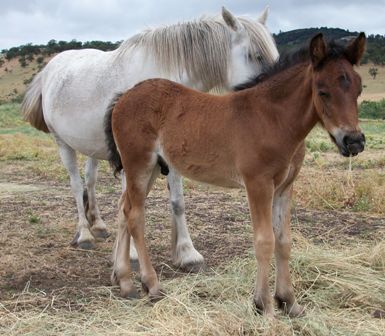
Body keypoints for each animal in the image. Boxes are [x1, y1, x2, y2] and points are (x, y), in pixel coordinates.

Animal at [22, 6, 278, 272]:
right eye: (255, 55)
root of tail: (50, 69)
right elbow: (132, 203)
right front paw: (132, 256)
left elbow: (176, 202)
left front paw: (186, 253)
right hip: (63, 144)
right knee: (75, 184)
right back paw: (84, 234)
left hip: (92, 148)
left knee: (89, 181)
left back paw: (99, 225)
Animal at [104, 34, 364, 318]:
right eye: (322, 91)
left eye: (358, 89)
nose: (354, 141)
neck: (273, 119)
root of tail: (124, 97)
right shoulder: (258, 184)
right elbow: (264, 241)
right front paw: (265, 307)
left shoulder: (285, 187)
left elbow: (284, 242)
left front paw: (289, 302)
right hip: (139, 164)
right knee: (135, 216)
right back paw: (152, 285)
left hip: (150, 168)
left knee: (124, 209)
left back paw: (125, 282)